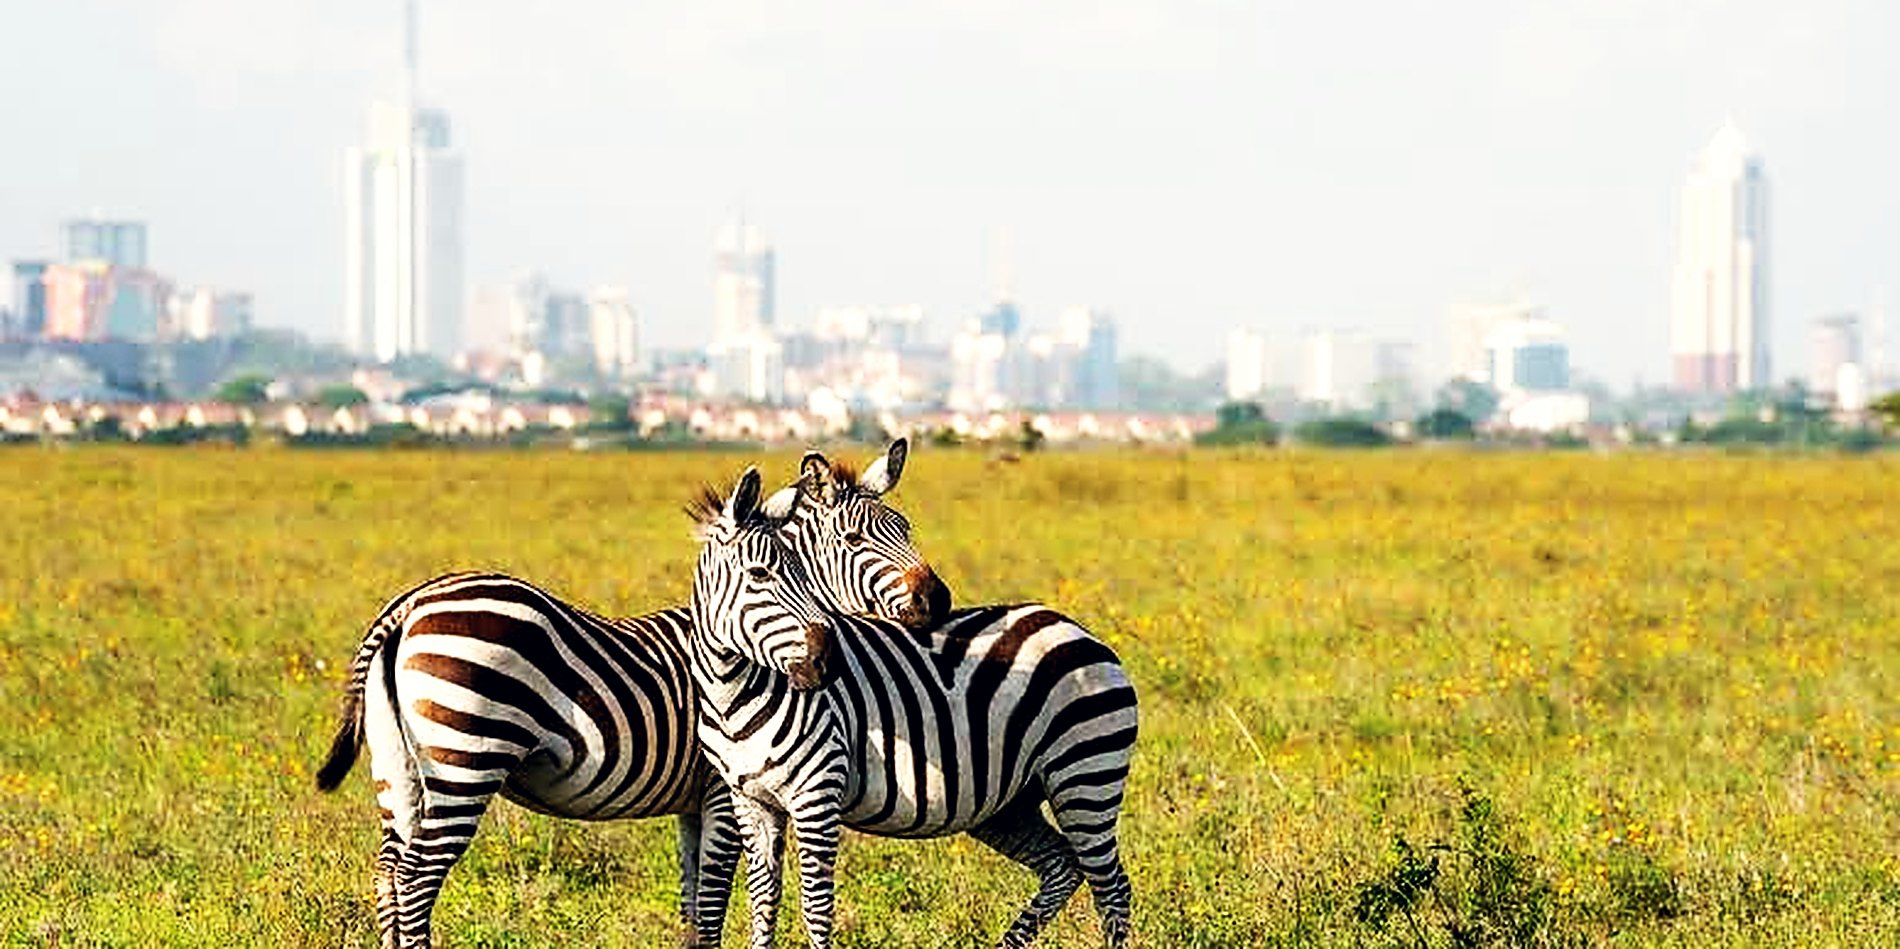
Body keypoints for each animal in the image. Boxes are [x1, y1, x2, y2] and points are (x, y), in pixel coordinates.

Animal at [689, 467, 1139, 949]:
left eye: (804, 576)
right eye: (759, 573)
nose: (829, 661)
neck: (732, 697)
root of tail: (1075, 628)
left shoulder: (817, 796)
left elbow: (816, 907)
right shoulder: (750, 801)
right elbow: (763, 901)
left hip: (1086, 775)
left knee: (1112, 887)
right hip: (1011, 803)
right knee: (1062, 867)